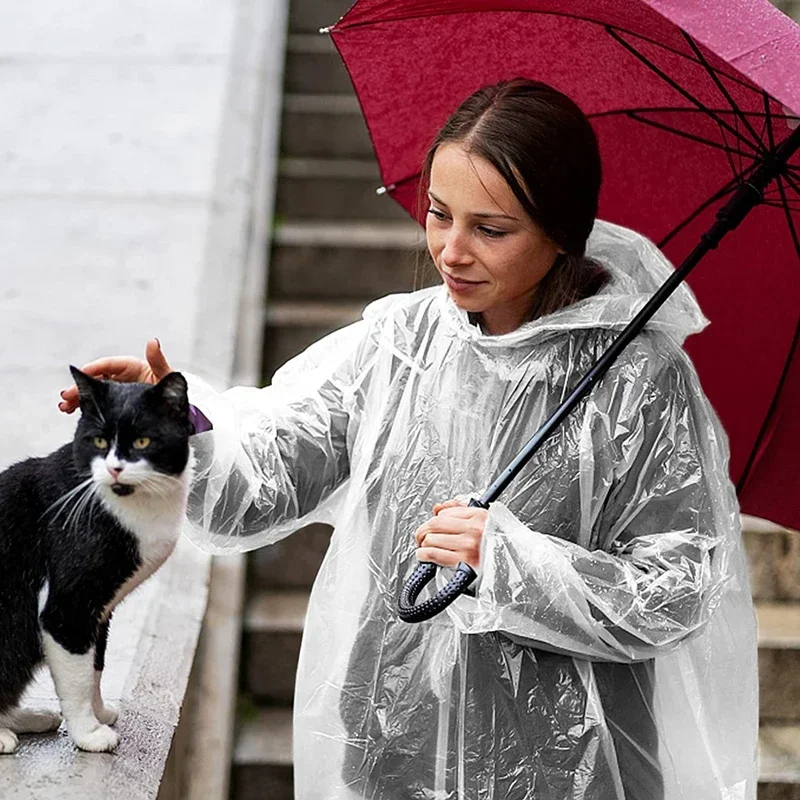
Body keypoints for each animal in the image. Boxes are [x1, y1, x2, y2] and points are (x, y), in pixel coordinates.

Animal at [0, 366, 194, 752]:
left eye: (142, 442)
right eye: (100, 442)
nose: (115, 468)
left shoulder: (101, 609)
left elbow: (95, 665)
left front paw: (100, 712)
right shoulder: (68, 608)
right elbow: (76, 676)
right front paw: (89, 733)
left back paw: (30, 718)